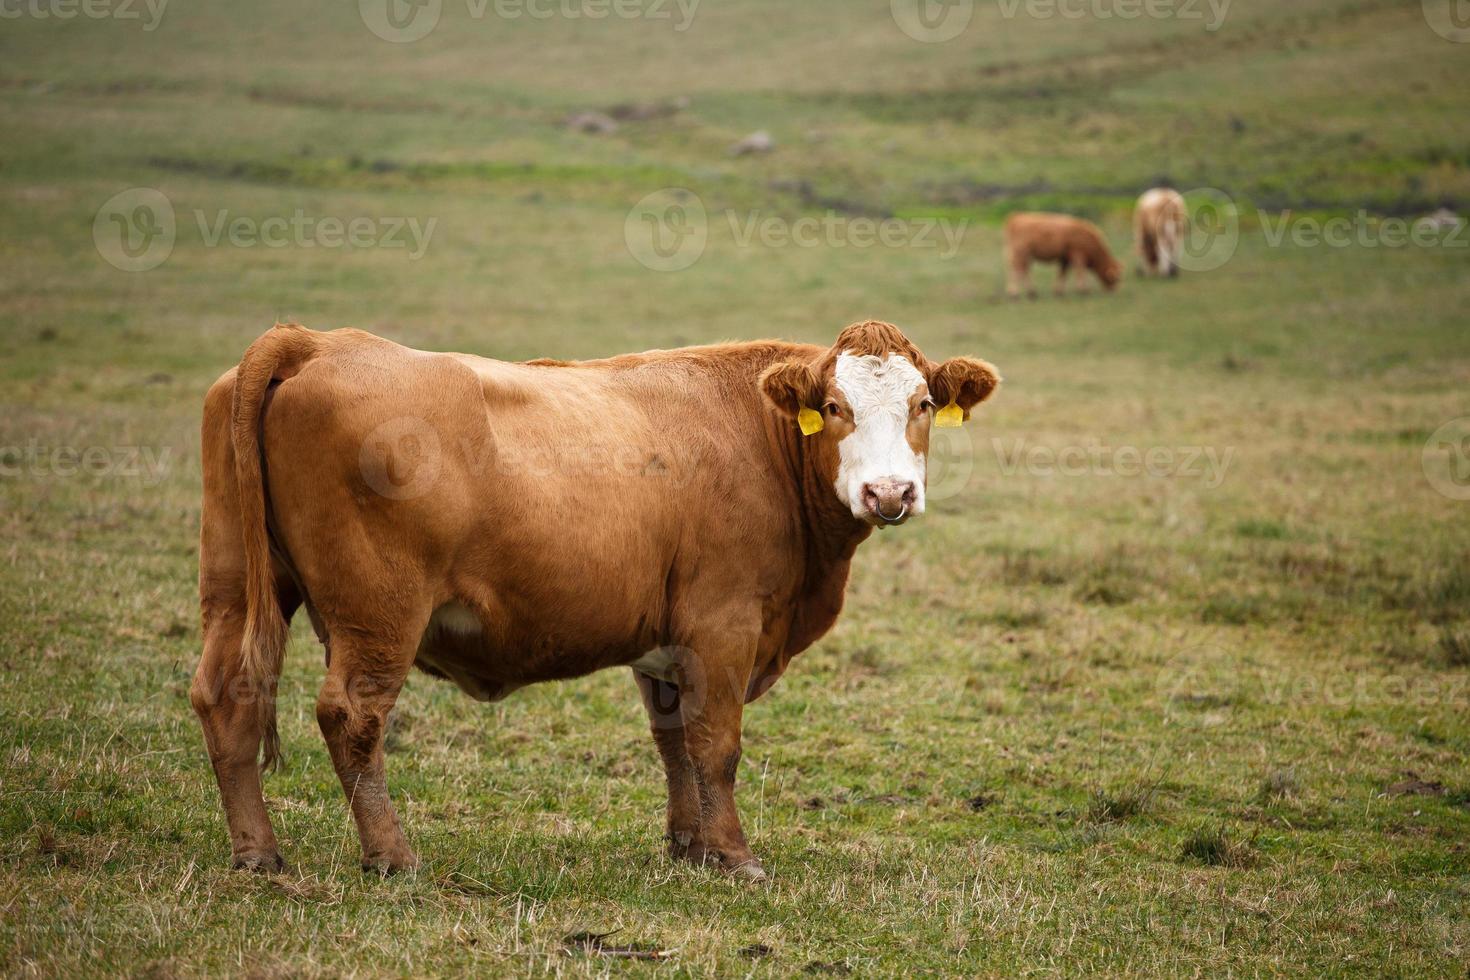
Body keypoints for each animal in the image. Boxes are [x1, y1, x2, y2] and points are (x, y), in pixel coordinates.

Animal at [192, 320, 999, 881]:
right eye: (833, 406)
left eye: (923, 403)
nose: (891, 492)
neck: (759, 439)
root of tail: (314, 343)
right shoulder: (723, 626)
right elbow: (718, 745)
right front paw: (735, 856)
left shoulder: (667, 645)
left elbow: (676, 743)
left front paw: (689, 845)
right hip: (378, 615)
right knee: (351, 718)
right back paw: (392, 856)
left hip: (234, 588)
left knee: (226, 696)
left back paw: (257, 853)